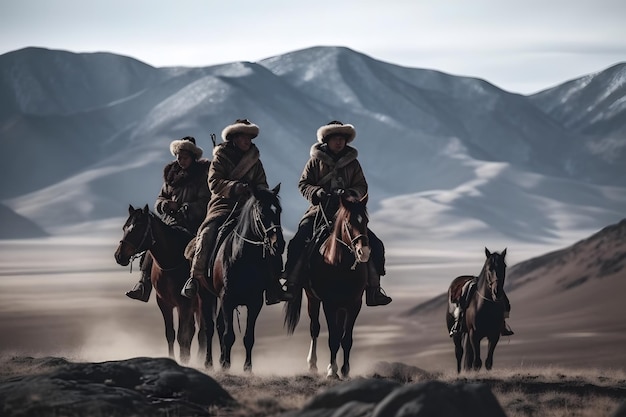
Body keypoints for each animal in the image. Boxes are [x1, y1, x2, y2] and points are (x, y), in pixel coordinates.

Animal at [114, 203, 217, 366]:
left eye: (137, 228)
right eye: (124, 227)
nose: (119, 256)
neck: (171, 260)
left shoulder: (184, 305)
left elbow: (182, 336)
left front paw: (184, 361)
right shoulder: (164, 303)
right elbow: (170, 334)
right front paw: (174, 358)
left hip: (204, 303)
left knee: (201, 333)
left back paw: (200, 360)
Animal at [212, 184, 286, 370]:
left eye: (279, 210)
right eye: (262, 212)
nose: (279, 244)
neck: (243, 258)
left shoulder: (255, 302)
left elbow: (248, 337)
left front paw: (247, 368)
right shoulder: (227, 299)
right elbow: (229, 335)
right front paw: (226, 365)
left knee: (219, 325)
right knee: (212, 327)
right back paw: (211, 362)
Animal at [284, 193, 370, 378]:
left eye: (366, 221)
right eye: (348, 222)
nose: (364, 252)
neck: (341, 266)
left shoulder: (354, 304)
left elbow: (346, 339)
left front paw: (345, 370)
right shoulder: (329, 304)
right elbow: (333, 337)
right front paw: (332, 370)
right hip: (312, 298)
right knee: (314, 328)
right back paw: (312, 364)